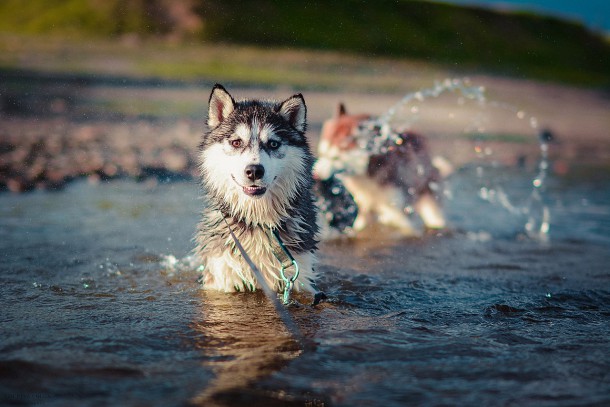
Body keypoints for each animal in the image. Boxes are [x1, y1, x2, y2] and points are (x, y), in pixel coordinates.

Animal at [195, 85, 318, 296]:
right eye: (236, 142)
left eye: (273, 144)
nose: (254, 171)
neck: (257, 219)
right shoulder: (223, 275)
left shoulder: (298, 275)